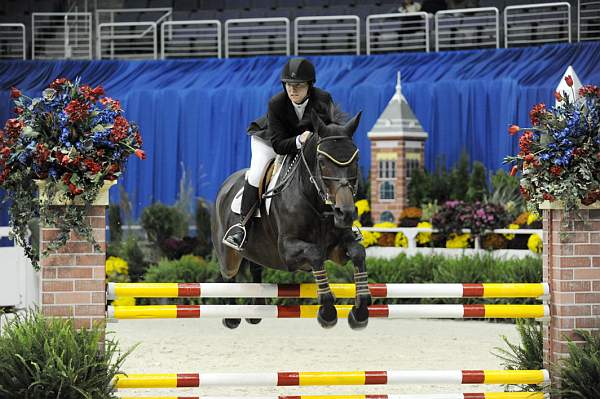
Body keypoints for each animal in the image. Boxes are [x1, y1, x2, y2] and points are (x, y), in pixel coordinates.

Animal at [211, 110, 370, 332]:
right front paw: (327, 312)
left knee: (255, 268)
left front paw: (360, 311)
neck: (316, 201)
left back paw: (256, 310)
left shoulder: (337, 250)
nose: (344, 213)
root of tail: (226, 185)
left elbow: (357, 252)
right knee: (228, 276)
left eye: (355, 160)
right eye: (322, 161)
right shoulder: (287, 250)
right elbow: (315, 253)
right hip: (229, 256)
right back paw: (231, 316)